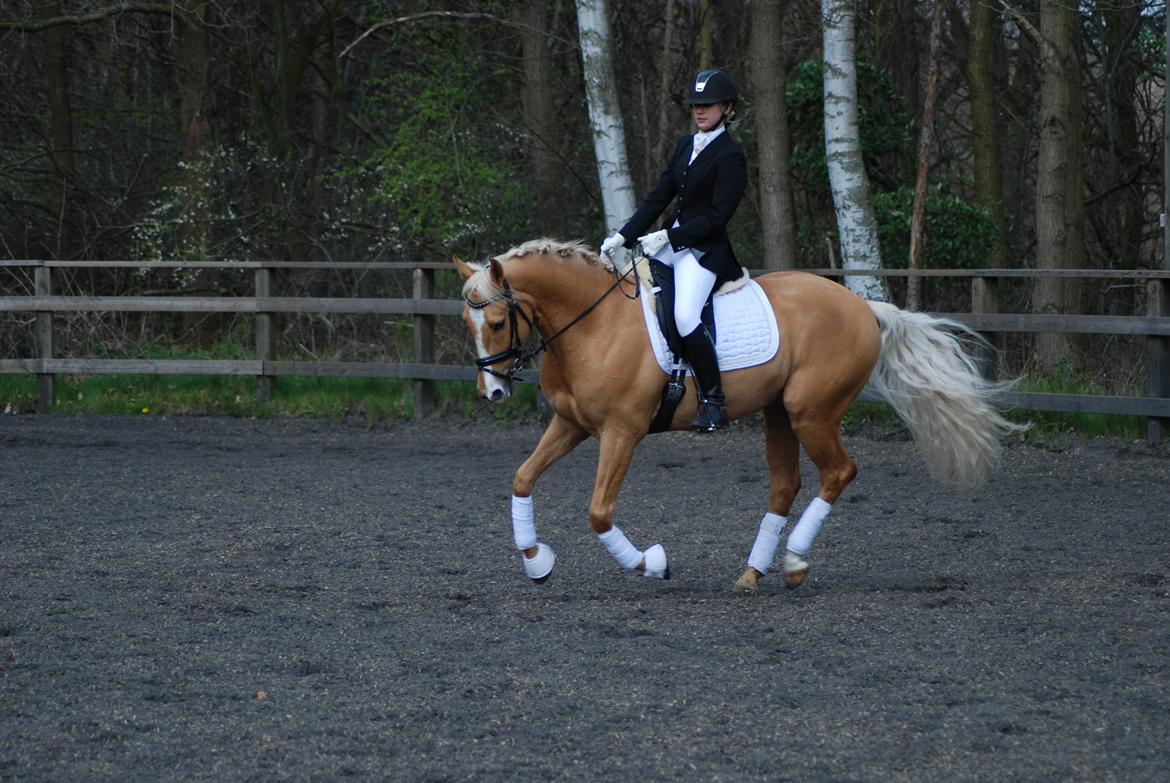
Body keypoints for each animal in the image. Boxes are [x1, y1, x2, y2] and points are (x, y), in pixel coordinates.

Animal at [451, 235, 1020, 589]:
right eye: (465, 322)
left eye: (497, 323)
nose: (493, 392)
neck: (595, 324)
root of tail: (863, 307)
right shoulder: (570, 424)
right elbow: (522, 478)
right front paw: (537, 562)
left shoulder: (622, 431)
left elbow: (598, 512)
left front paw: (651, 563)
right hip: (779, 412)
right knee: (786, 485)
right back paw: (755, 573)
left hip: (810, 411)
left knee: (839, 472)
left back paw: (794, 560)